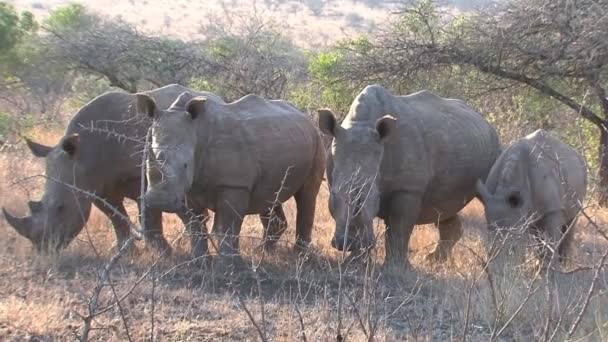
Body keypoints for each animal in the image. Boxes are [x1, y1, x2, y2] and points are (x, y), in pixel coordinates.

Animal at [1, 83, 217, 254]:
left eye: (61, 208)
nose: (44, 249)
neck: (84, 154)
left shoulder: (143, 177)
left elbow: (149, 218)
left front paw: (164, 254)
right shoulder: (95, 185)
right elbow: (115, 216)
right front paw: (126, 251)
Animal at [138, 91, 328, 256]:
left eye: (185, 165)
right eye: (147, 162)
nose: (159, 200)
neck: (197, 130)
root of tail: (305, 116)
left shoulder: (235, 184)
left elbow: (227, 228)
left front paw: (232, 265)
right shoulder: (187, 188)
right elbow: (194, 226)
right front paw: (200, 261)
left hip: (317, 141)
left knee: (307, 196)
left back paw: (299, 256)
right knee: (270, 196)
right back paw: (263, 251)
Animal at [318, 85, 498, 268]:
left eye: (376, 197)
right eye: (333, 195)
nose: (349, 243)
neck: (360, 123)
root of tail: (485, 121)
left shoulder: (408, 189)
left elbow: (399, 228)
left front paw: (396, 267)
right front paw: (354, 261)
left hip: (493, 146)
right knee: (445, 208)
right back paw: (433, 260)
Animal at [478, 130, 588, 264]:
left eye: (513, 249)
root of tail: (576, 152)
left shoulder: (553, 208)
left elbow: (552, 243)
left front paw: (552, 269)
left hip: (581, 170)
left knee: (571, 222)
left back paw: (563, 264)